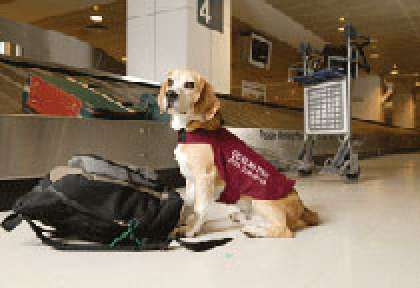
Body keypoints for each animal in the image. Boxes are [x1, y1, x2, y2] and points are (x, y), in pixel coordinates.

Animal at [158, 68, 318, 237]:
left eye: (189, 84)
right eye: (170, 81)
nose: (170, 94)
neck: (190, 129)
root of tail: (302, 207)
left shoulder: (204, 178)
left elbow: (199, 209)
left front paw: (190, 230)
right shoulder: (190, 180)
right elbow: (187, 206)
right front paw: (179, 224)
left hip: (260, 201)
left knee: (283, 230)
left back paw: (252, 230)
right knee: (255, 220)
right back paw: (241, 219)